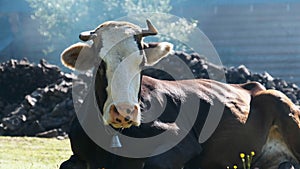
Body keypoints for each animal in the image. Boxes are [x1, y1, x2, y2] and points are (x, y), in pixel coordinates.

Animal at [59, 20, 300, 169]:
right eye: (100, 63)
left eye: (142, 63)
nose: (124, 111)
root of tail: (254, 86)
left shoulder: (182, 141)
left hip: (284, 106)